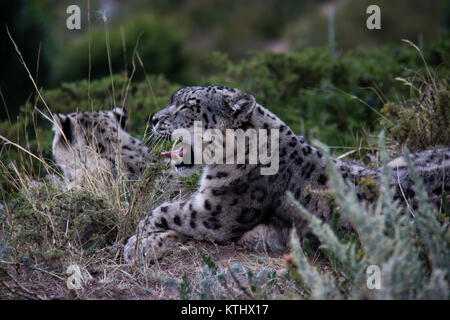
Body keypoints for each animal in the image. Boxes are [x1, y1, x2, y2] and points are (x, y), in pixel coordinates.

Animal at [123, 85, 450, 262]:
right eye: (173, 100)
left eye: (188, 106)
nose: (153, 119)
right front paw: (143, 242)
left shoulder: (215, 214)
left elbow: (167, 211)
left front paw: (137, 240)